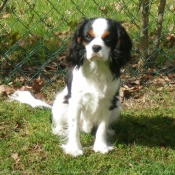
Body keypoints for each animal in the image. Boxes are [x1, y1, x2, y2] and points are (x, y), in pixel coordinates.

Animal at [50, 18, 131, 157]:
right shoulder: (76, 102)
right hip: (60, 103)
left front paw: (101, 146)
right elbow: (73, 127)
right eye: (88, 37)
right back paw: (59, 130)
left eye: (108, 38)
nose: (96, 47)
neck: (96, 69)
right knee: (61, 121)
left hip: (116, 109)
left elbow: (102, 127)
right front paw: (74, 149)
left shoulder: (108, 102)